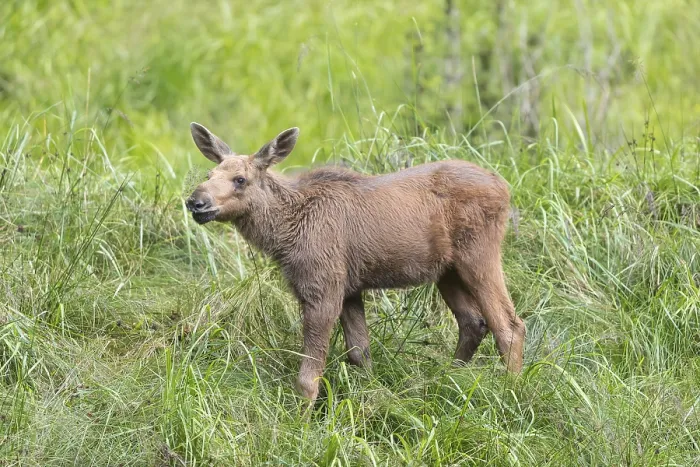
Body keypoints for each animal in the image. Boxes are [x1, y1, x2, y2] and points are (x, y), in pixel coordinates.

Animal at [185, 123, 525, 403]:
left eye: (240, 179)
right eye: (208, 176)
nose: (195, 202)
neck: (284, 232)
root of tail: (505, 188)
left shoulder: (323, 287)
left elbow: (308, 378)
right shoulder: (350, 289)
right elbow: (360, 353)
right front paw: (372, 399)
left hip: (478, 255)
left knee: (509, 326)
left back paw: (511, 393)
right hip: (447, 271)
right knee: (473, 322)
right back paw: (446, 380)